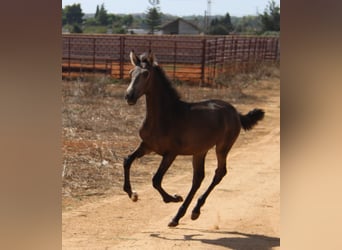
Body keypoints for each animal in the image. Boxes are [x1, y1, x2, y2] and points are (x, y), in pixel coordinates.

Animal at [123, 49, 264, 228]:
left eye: (146, 74)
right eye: (131, 72)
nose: (129, 96)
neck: (166, 116)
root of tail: (235, 112)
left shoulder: (170, 153)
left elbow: (156, 179)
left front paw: (173, 198)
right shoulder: (147, 146)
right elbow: (127, 160)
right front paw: (132, 194)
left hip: (222, 147)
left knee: (219, 172)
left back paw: (191, 211)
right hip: (200, 151)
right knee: (198, 178)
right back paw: (181, 216)